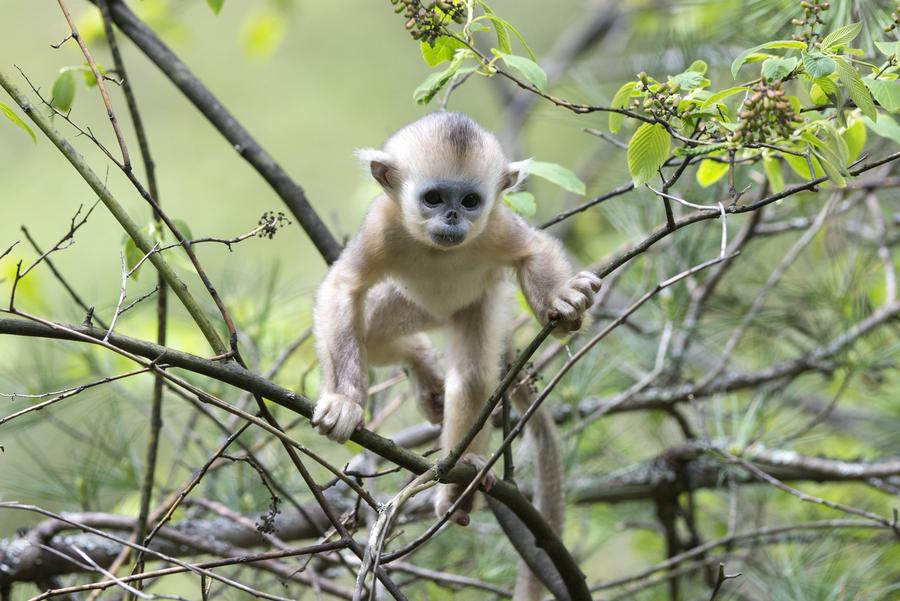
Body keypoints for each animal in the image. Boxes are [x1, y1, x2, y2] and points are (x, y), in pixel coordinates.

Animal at [312, 112, 600, 524]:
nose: (452, 216)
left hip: (476, 305)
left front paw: (563, 303)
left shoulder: (496, 225)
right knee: (374, 336)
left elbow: (533, 251)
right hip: (404, 304)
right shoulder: (381, 226)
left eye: (470, 201)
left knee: (472, 375)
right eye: (433, 198)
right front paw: (343, 402)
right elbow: (344, 286)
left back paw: (461, 476)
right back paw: (426, 375)